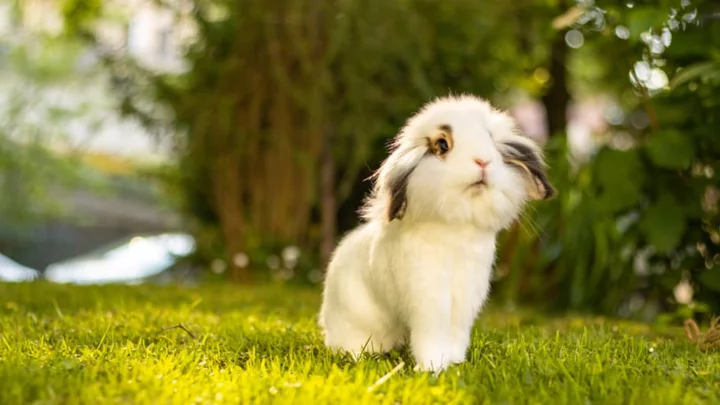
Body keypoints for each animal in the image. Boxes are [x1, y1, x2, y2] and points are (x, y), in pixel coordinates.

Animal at [316, 93, 556, 370]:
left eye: (490, 139)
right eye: (442, 144)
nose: (482, 161)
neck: (456, 229)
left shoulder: (464, 299)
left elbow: (456, 333)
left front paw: (455, 362)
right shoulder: (428, 298)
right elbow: (431, 333)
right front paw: (432, 367)